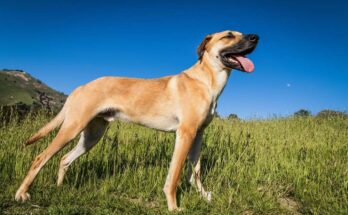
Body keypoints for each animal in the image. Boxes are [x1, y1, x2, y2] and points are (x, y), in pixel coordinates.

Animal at [14, 29, 258, 211]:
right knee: (40, 157)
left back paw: (59, 188)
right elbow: (175, 175)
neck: (207, 79)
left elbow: (195, 171)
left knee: (64, 159)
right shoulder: (185, 134)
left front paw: (203, 195)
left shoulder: (198, 135)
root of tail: (80, 86)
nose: (256, 37)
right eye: (228, 35)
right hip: (72, 128)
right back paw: (21, 194)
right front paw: (173, 206)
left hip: (92, 135)